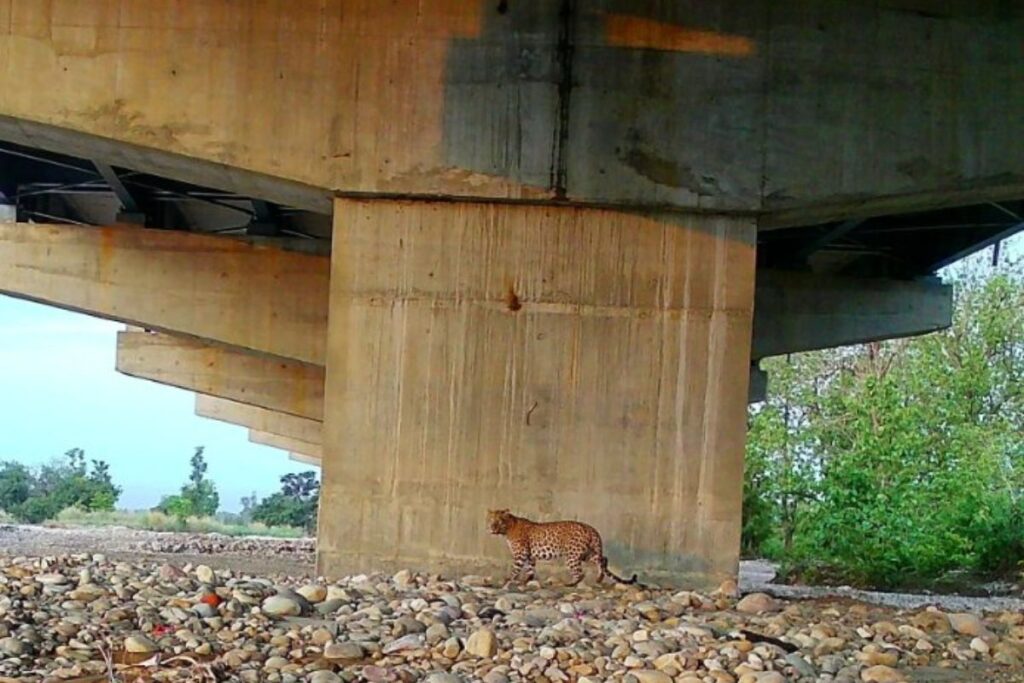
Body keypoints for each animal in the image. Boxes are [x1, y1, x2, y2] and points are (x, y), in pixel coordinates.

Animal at [486, 509, 637, 587]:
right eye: (491, 520)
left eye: (499, 521)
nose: (492, 528)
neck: (507, 529)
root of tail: (591, 528)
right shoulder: (529, 555)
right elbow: (530, 568)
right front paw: (527, 580)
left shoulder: (520, 554)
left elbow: (515, 569)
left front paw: (508, 579)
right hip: (587, 553)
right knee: (603, 559)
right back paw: (599, 578)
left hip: (572, 555)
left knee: (581, 572)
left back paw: (570, 584)